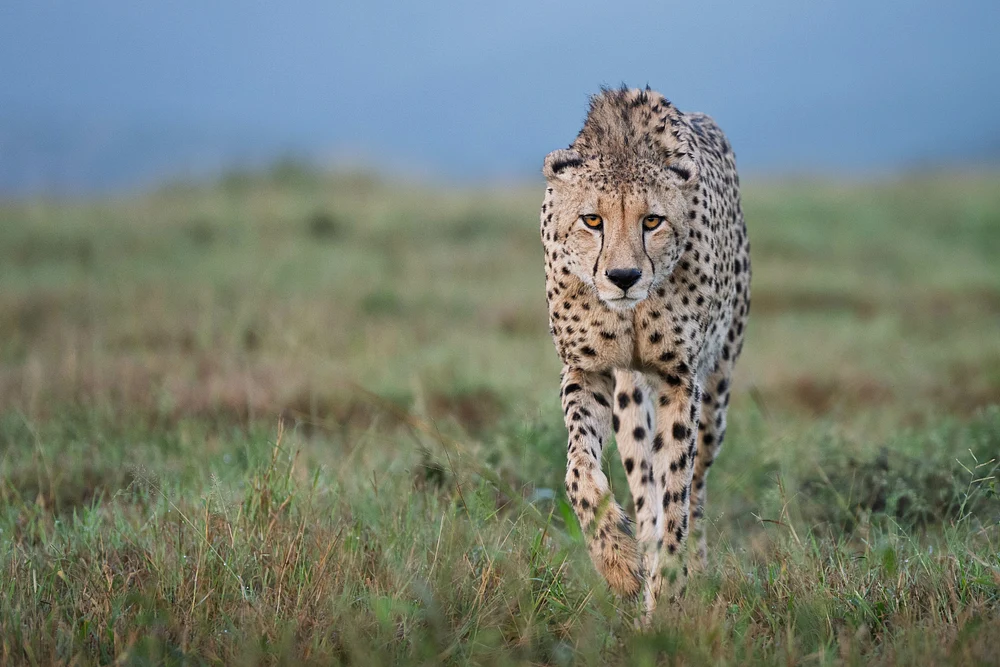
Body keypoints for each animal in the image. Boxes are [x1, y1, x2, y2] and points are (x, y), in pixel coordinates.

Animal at [539, 85, 751, 616]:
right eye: (592, 219)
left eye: (652, 220)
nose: (623, 276)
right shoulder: (586, 369)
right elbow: (578, 471)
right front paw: (617, 563)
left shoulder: (681, 378)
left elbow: (676, 492)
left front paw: (670, 598)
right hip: (630, 400)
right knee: (642, 479)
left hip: (717, 388)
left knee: (695, 489)